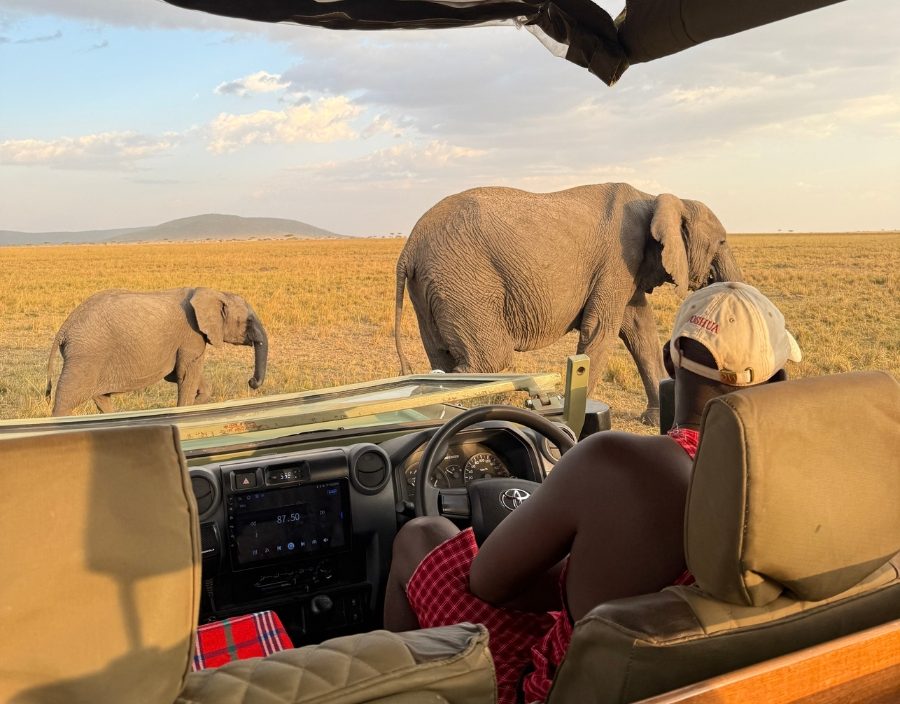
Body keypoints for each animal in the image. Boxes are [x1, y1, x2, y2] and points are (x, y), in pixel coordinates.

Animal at [45, 287, 268, 416]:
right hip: (86, 354)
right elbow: (186, 373)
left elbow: (179, 374)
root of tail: (65, 327)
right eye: (248, 321)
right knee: (66, 400)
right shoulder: (191, 334)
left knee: (101, 397)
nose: (251, 382)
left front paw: (197, 403)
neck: (213, 292)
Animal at [393, 183, 742, 425]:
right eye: (722, 242)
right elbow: (601, 329)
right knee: (490, 359)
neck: (657, 198)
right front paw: (572, 417)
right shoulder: (617, 260)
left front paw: (655, 420)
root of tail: (409, 246)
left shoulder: (626, 268)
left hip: (432, 287)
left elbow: (640, 329)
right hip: (463, 280)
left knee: (442, 358)